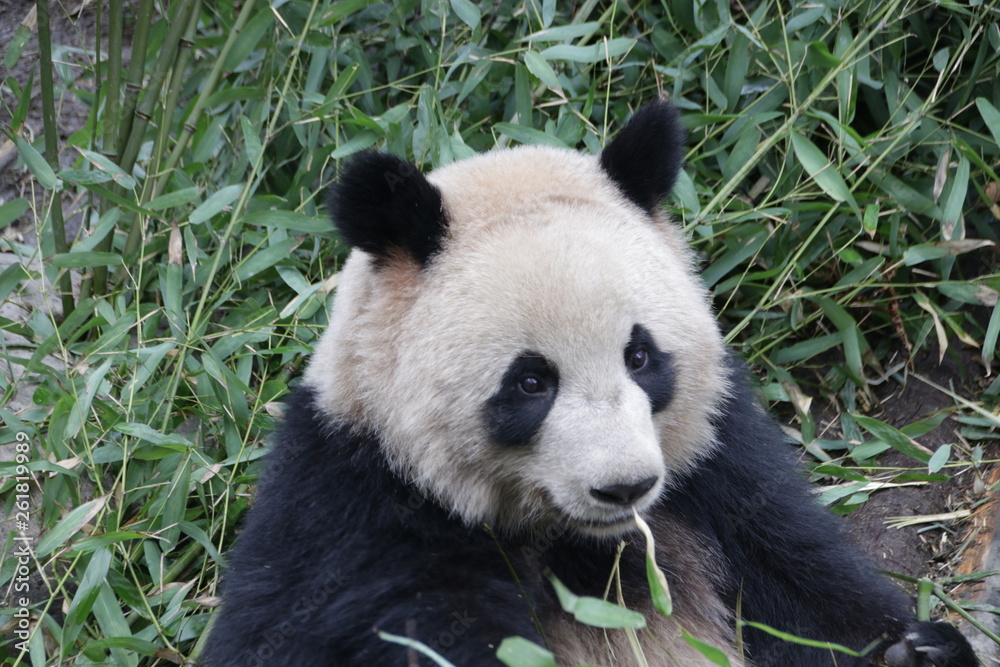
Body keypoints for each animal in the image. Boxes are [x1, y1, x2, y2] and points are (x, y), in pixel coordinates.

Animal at [201, 100, 978, 667]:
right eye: (530, 382)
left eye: (640, 356)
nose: (623, 487)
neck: (579, 541)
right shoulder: (353, 516)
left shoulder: (718, 472)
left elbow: (805, 588)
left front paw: (919, 649)